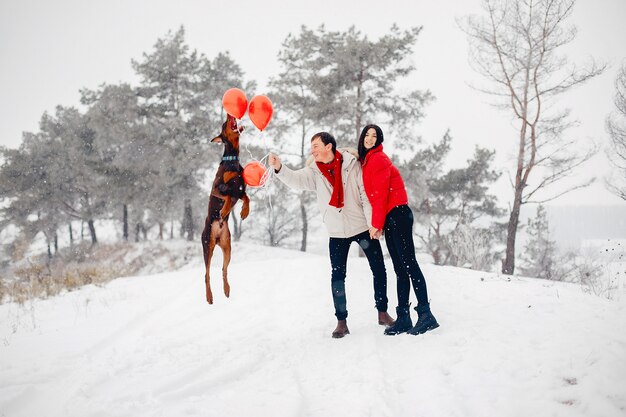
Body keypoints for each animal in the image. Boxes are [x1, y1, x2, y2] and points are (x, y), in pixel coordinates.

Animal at [200, 114, 249, 302]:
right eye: (224, 124)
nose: (230, 115)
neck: (232, 160)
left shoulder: (240, 189)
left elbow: (246, 197)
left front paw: (244, 211)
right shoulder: (217, 188)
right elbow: (227, 195)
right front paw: (224, 210)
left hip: (227, 247)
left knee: (224, 269)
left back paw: (227, 289)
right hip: (207, 246)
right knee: (206, 274)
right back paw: (209, 296)